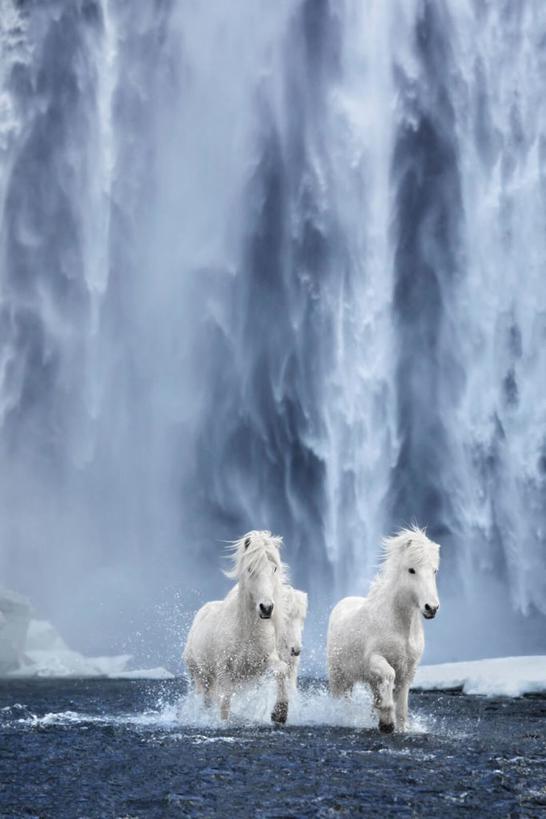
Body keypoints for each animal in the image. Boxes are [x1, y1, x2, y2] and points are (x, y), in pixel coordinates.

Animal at [182, 532, 294, 724]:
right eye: (250, 568)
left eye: (274, 568)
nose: (266, 608)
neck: (246, 631)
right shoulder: (224, 670)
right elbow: (225, 703)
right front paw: (223, 723)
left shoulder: (261, 662)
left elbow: (281, 670)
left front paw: (279, 714)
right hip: (201, 675)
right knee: (206, 699)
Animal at [326, 528, 436, 732]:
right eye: (411, 569)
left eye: (434, 570)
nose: (431, 607)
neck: (399, 626)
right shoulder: (374, 659)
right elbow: (389, 674)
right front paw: (386, 717)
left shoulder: (408, 670)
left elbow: (402, 706)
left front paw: (395, 725)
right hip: (338, 675)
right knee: (341, 698)